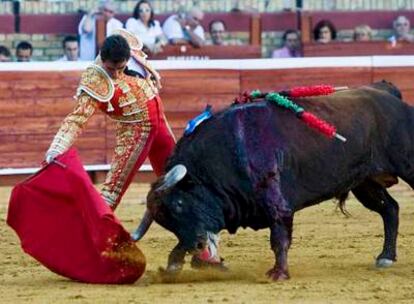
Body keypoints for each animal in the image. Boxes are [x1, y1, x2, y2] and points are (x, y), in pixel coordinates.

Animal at [134, 81, 412, 280]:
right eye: (167, 222)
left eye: (180, 204)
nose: (199, 246)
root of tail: (388, 94)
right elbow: (181, 244)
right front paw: (174, 265)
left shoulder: (276, 203)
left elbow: (279, 238)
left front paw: (278, 273)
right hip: (364, 183)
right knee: (390, 209)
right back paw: (386, 256)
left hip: (406, 167)